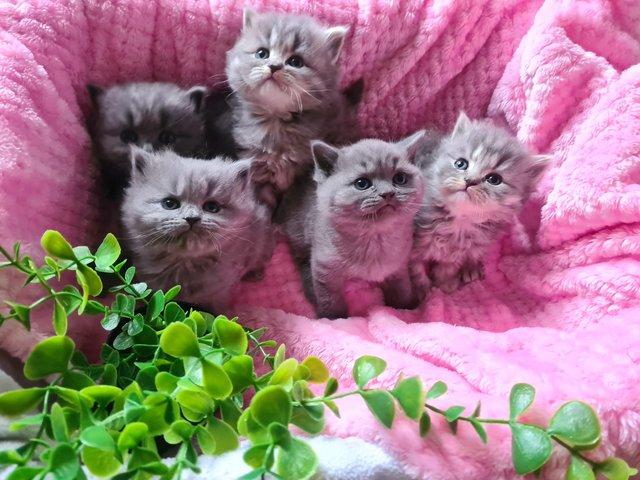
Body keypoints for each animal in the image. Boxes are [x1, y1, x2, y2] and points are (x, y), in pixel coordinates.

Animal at [226, 9, 350, 197]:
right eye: (262, 54)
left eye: (295, 62)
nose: (274, 66)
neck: (275, 122)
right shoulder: (254, 164)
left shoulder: (301, 171)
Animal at [278, 131, 424, 318]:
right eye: (362, 183)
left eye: (400, 178)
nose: (388, 193)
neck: (375, 240)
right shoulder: (324, 268)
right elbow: (330, 298)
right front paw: (333, 317)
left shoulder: (398, 266)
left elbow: (401, 287)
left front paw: (405, 307)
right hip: (300, 235)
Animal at [412, 114, 548, 298]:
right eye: (461, 163)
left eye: (494, 179)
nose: (469, 181)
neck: (460, 221)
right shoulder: (414, 243)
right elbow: (416, 270)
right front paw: (423, 292)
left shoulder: (458, 252)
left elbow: (447, 267)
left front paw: (445, 284)